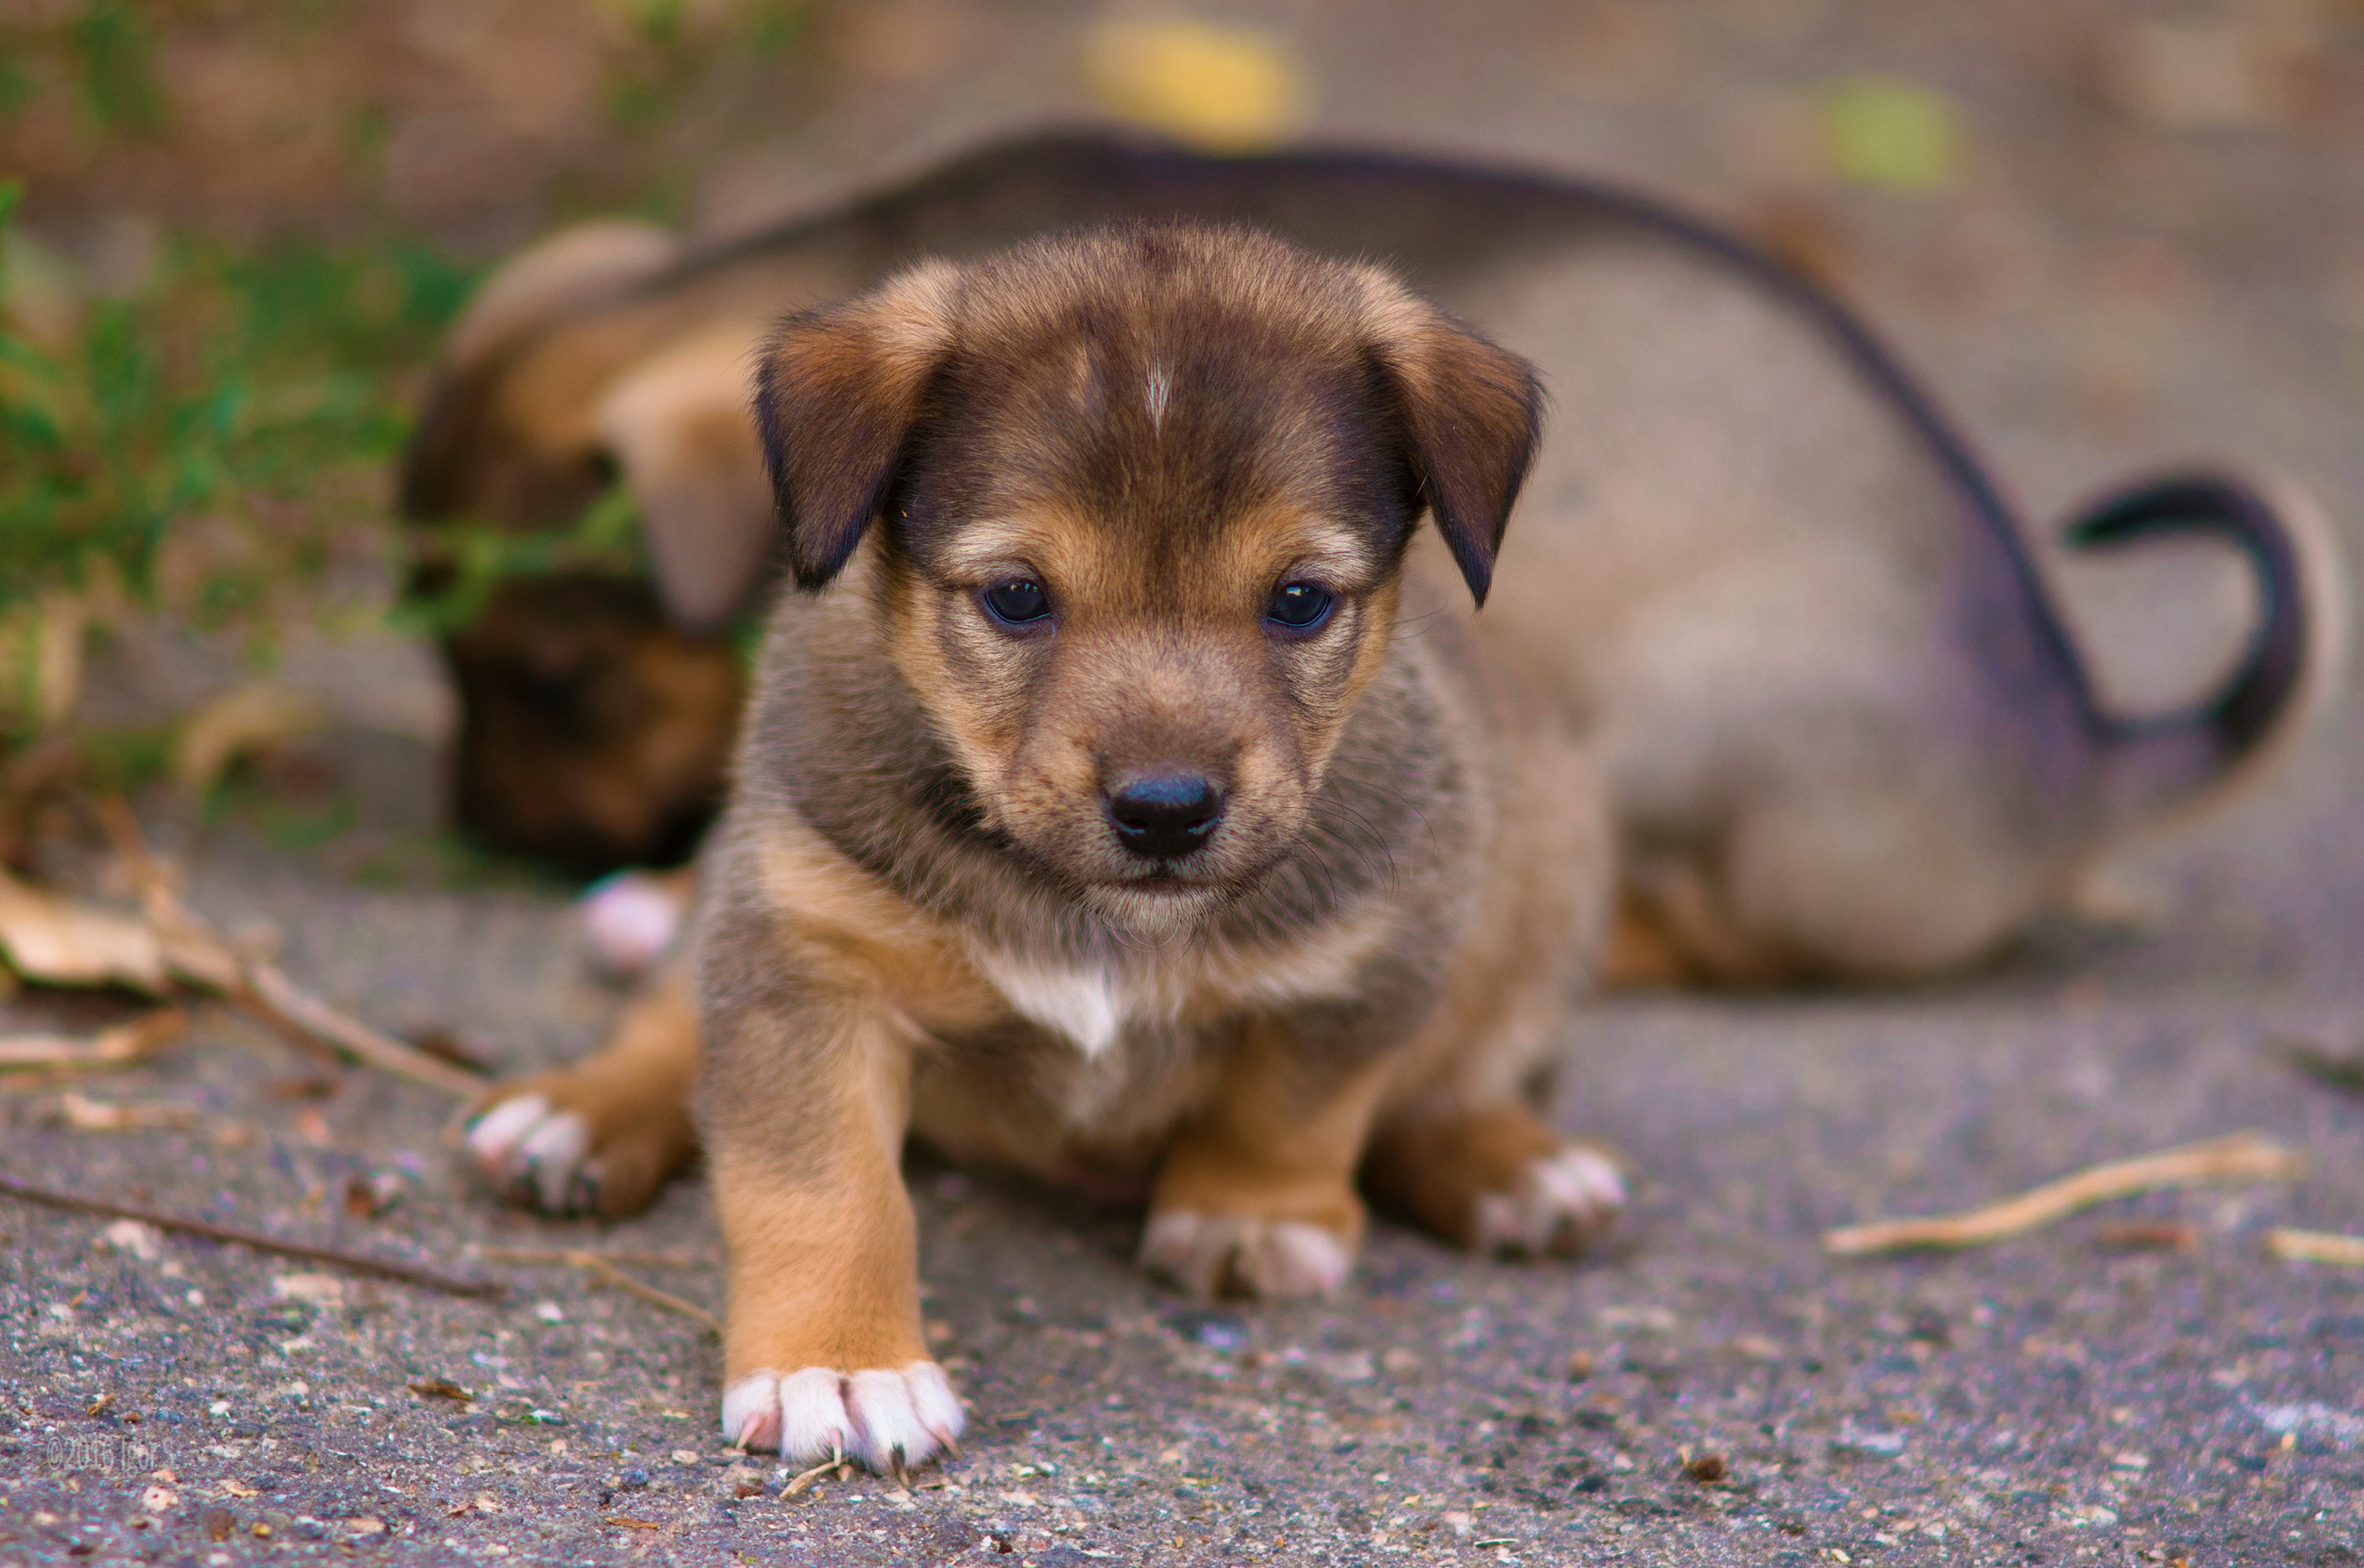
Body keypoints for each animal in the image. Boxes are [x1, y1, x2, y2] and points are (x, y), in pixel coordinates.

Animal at [396, 137, 2335, 993]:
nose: (484, 832)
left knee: (1701, 928)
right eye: (444, 664)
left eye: (558, 676)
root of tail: (2081, 752)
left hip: (1646, 720)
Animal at [472, 227, 1635, 1476]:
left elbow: (1296, 1097)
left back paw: (1515, 1165)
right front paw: (840, 1362)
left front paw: (1250, 1211)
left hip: (1551, 872)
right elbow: (822, 1182)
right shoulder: (807, 954)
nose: (1167, 811)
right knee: (665, 1019)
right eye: (1017, 596)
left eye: (1299, 599)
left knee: (1460, 1070)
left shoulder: (1376, 952)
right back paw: (578, 1111)